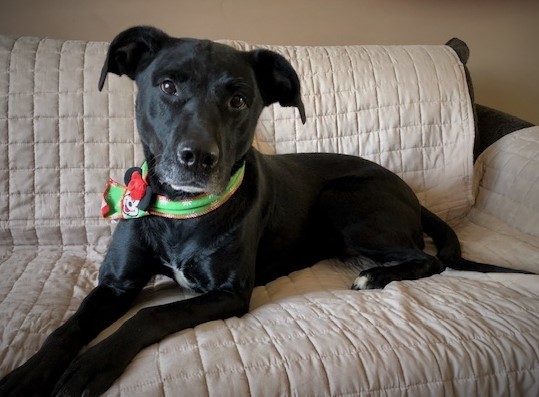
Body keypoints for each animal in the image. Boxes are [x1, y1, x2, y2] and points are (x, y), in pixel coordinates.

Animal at [0, 26, 524, 394]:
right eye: (167, 86)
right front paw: (28, 373)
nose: (198, 158)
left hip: (346, 204)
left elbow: (148, 318)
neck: (184, 214)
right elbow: (65, 329)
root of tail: (413, 194)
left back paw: (375, 276)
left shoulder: (229, 293)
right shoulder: (116, 284)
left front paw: (90, 365)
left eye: (239, 99)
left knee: (429, 259)